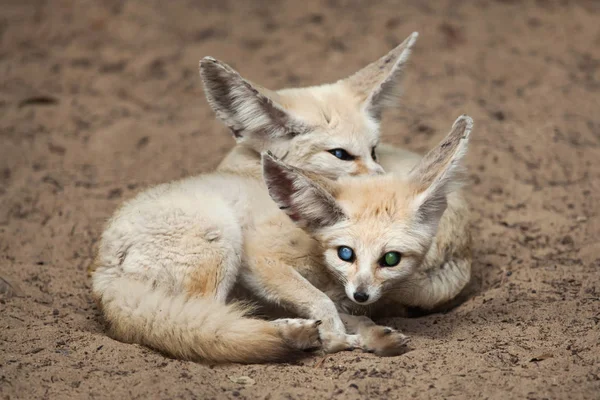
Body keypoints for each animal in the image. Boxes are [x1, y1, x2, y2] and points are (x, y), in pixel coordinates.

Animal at [90, 34, 474, 364]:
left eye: (374, 150)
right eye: (341, 154)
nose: (385, 178)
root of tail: (102, 269)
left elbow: (340, 307)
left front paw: (362, 332)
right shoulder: (261, 259)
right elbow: (324, 305)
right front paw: (338, 337)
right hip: (222, 242)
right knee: (208, 316)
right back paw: (294, 334)